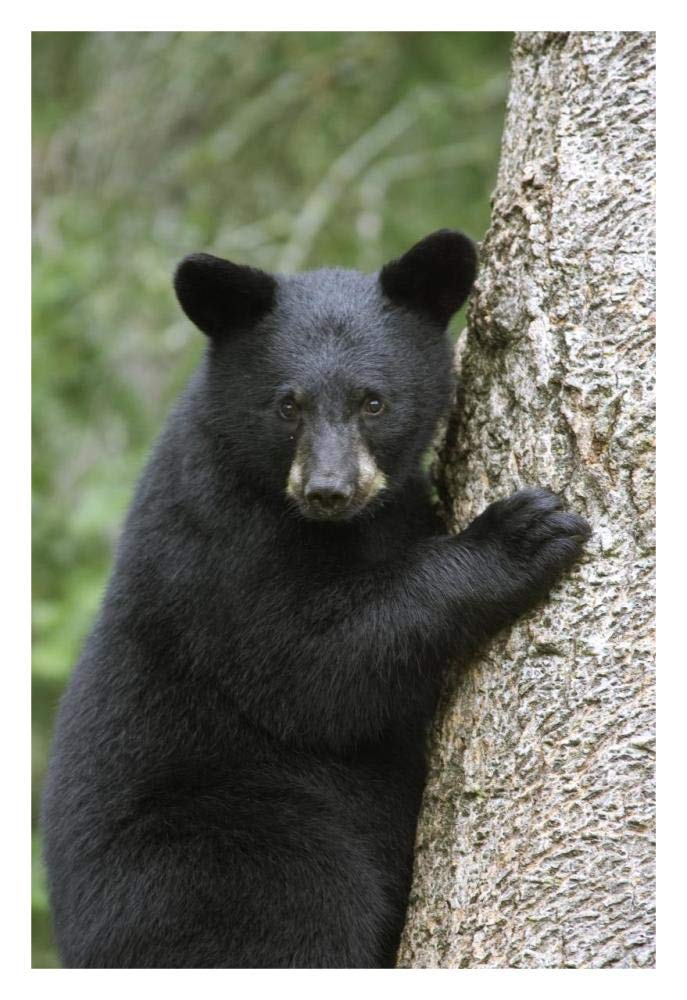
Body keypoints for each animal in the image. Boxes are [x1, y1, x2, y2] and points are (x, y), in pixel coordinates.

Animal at [42, 229, 590, 968]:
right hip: (225, 847)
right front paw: (522, 534)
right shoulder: (218, 546)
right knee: (297, 912)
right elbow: (311, 670)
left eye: (373, 401)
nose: (328, 490)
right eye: (287, 404)